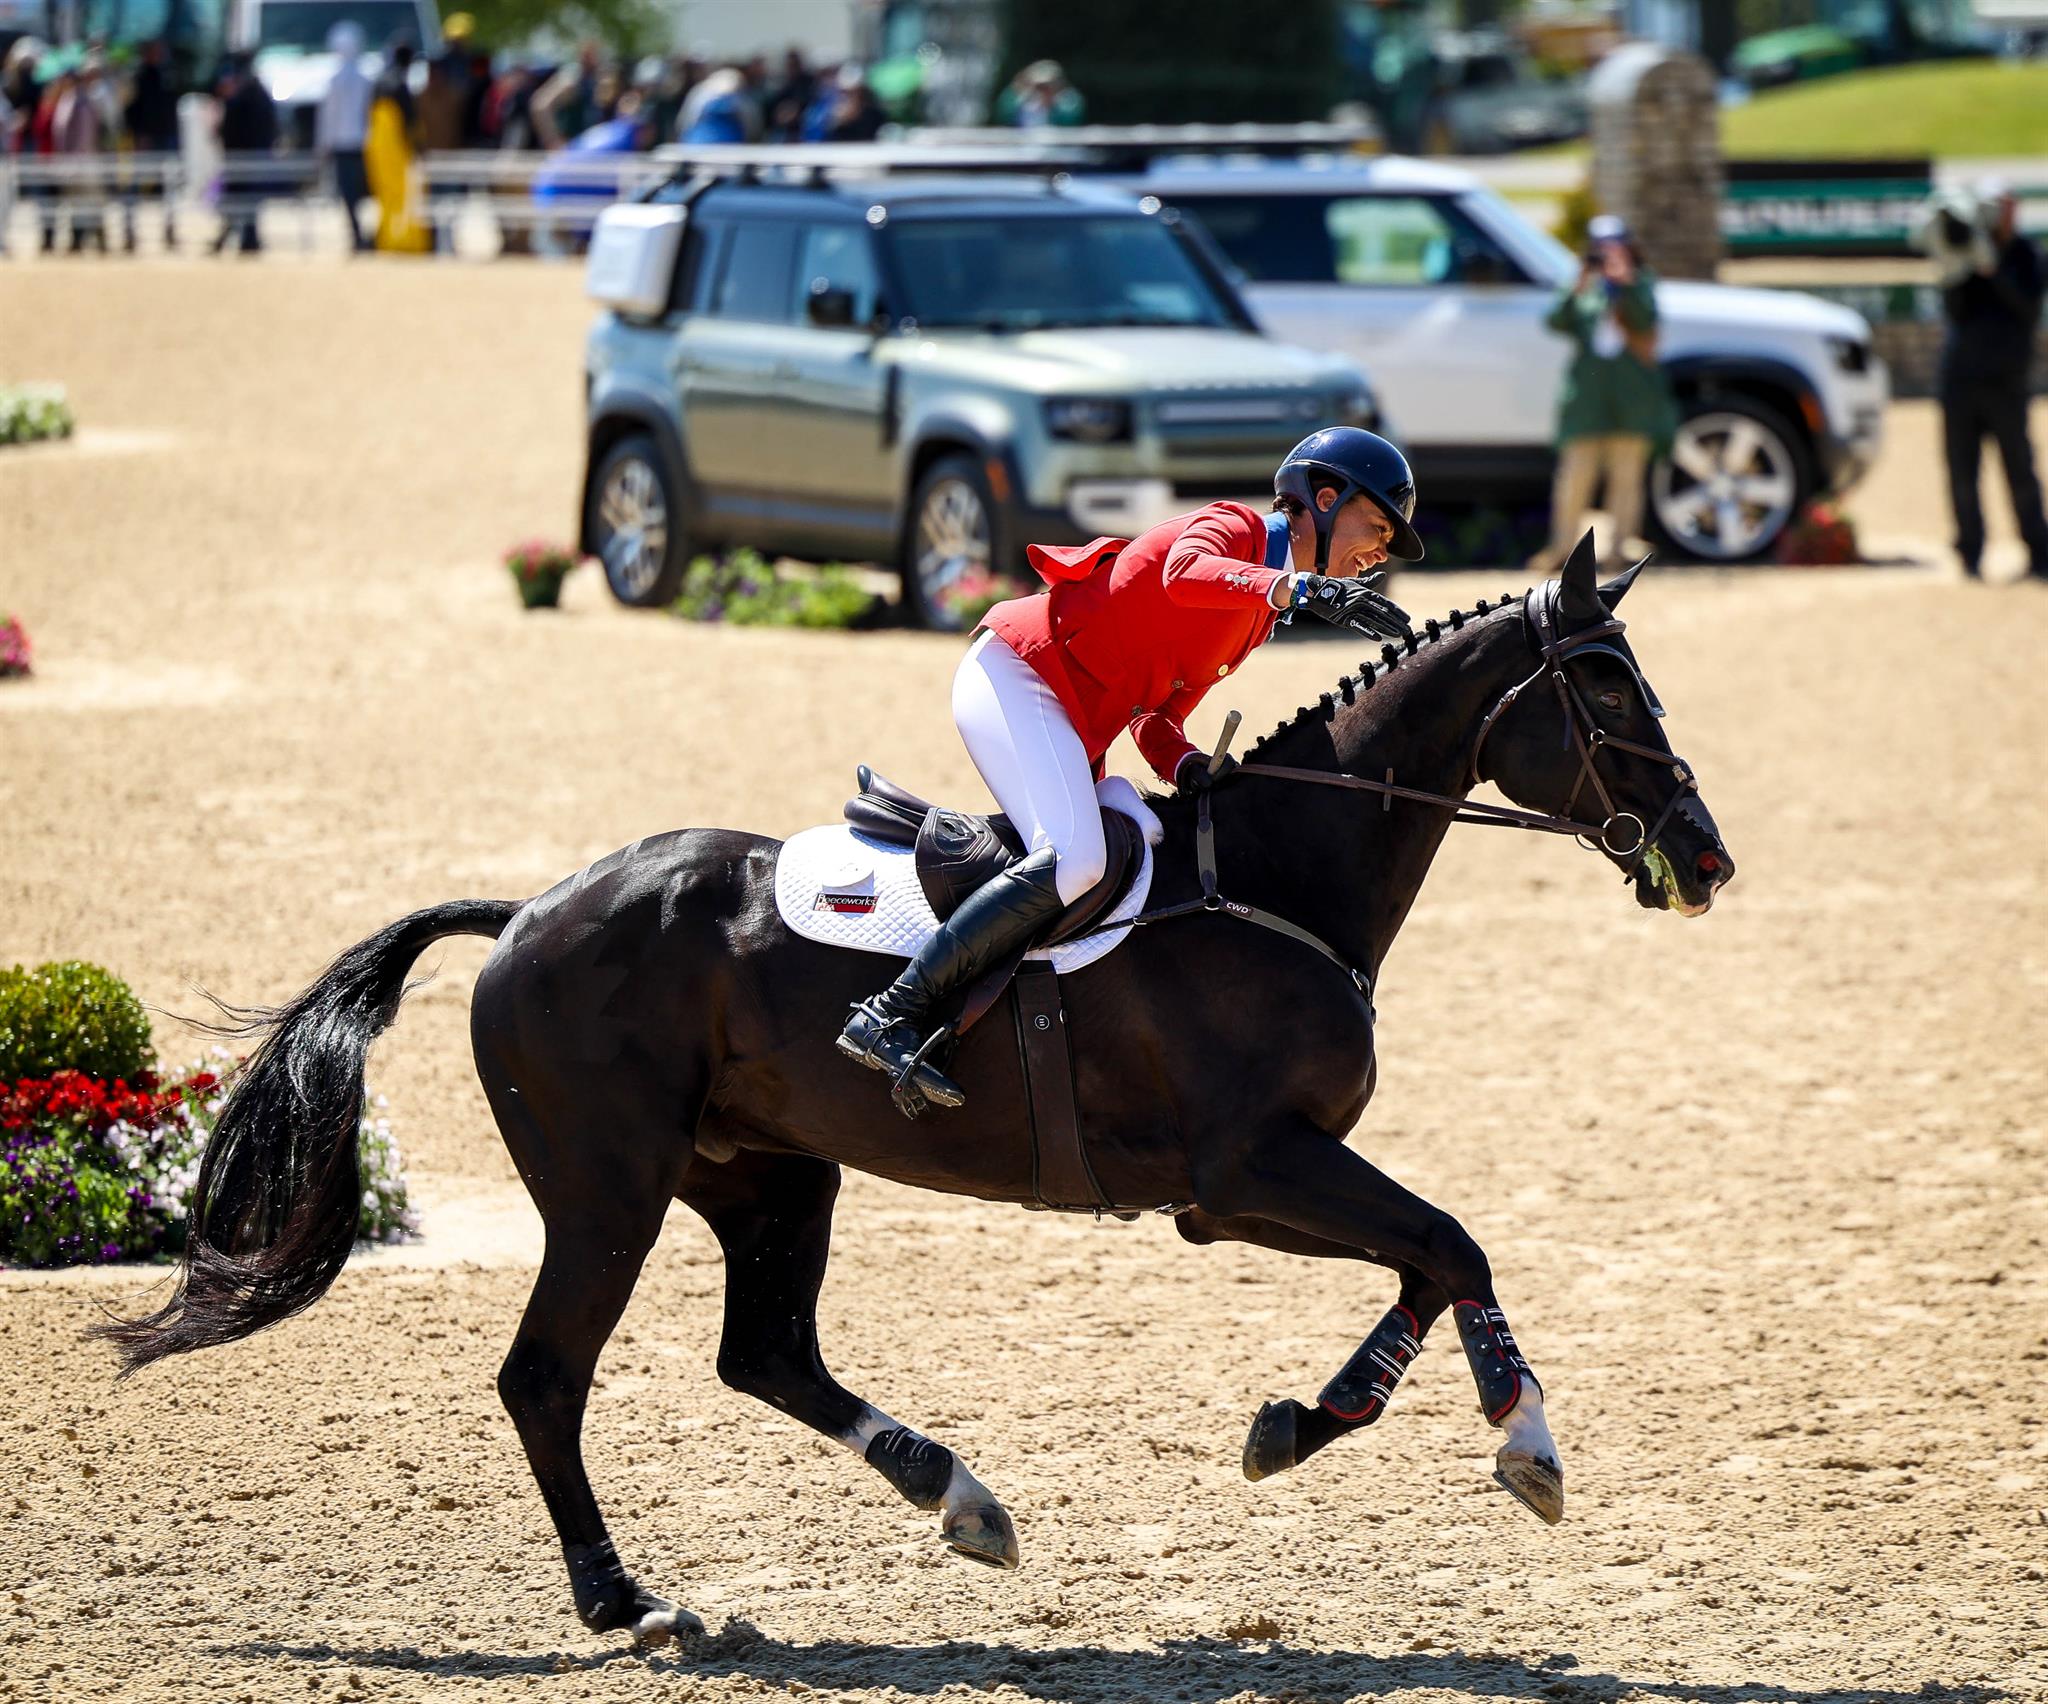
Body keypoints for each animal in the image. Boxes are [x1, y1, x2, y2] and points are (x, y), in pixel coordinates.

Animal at [96, 536, 1728, 1654]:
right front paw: (1521, 1447)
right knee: (547, 1378)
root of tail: (531, 912)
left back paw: (960, 1498)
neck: (1278, 877)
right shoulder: (1245, 1170)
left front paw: (1308, 1420)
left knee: (763, 1354)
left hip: (769, 1173)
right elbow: (1451, 1242)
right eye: (1602, 686)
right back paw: (628, 1600)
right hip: (607, 1192)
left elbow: (1428, 1259)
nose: (1705, 858)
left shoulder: (1263, 1182)